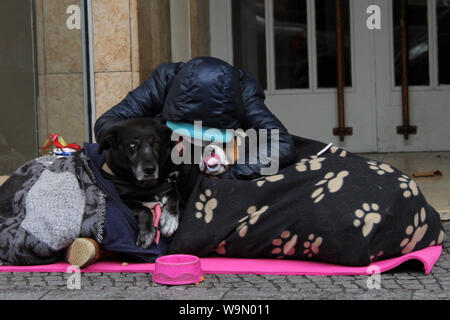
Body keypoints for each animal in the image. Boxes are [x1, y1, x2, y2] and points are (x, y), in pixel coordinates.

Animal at [98, 118, 181, 250]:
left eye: (156, 143)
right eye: (132, 145)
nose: (150, 169)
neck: (148, 186)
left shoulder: (170, 185)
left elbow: (175, 198)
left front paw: (170, 220)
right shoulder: (124, 201)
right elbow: (144, 210)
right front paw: (147, 233)